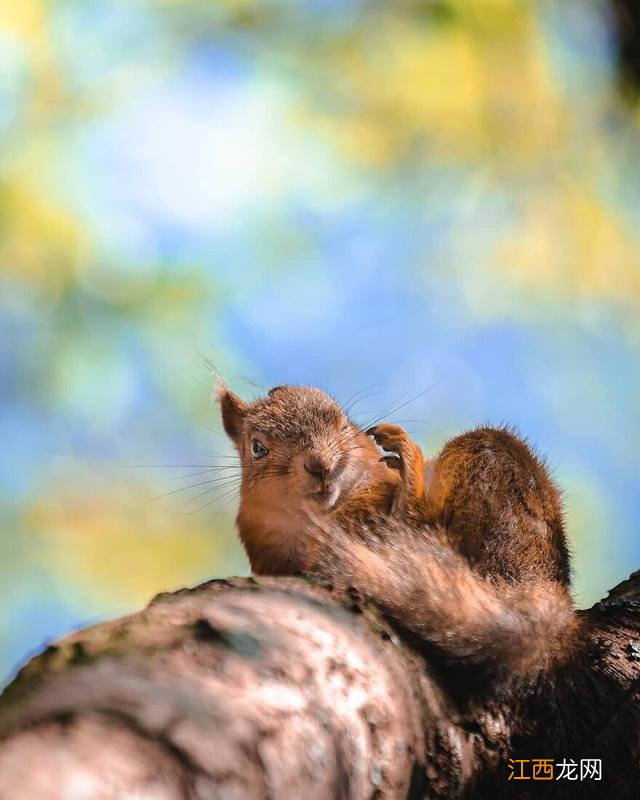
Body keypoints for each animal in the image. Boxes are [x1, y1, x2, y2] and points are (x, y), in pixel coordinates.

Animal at [219, 384, 580, 680]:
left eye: (342, 422)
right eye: (257, 448)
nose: (320, 465)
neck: (317, 516)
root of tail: (545, 580)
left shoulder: (377, 486)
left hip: (492, 475)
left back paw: (410, 466)